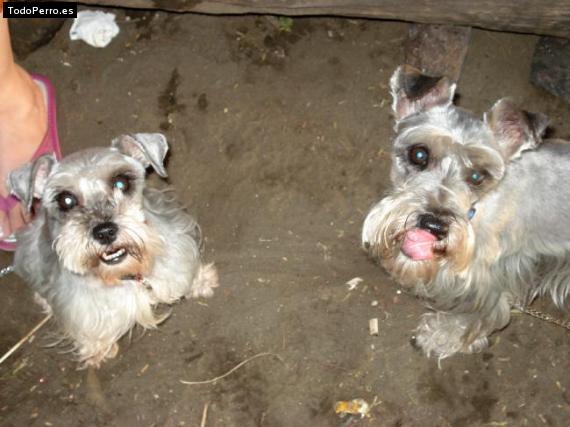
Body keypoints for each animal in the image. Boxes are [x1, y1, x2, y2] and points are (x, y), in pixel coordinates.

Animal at [8, 134, 217, 368]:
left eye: (120, 182)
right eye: (66, 200)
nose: (105, 232)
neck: (125, 274)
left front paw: (202, 281)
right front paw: (96, 350)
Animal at [362, 66, 564, 362]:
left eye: (477, 176)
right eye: (419, 154)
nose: (433, 225)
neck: (477, 210)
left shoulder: (490, 281)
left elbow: (474, 316)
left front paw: (441, 336)